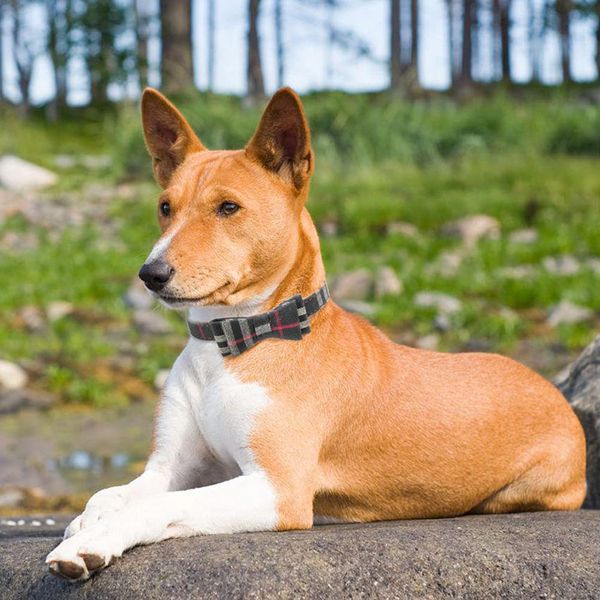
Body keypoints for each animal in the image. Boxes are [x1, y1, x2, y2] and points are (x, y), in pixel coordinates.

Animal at [45, 86, 584, 580]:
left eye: (228, 208)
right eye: (164, 207)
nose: (150, 274)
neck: (232, 342)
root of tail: (550, 388)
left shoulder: (277, 488)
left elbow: (155, 506)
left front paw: (92, 542)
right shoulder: (171, 468)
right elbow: (109, 494)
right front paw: (88, 521)